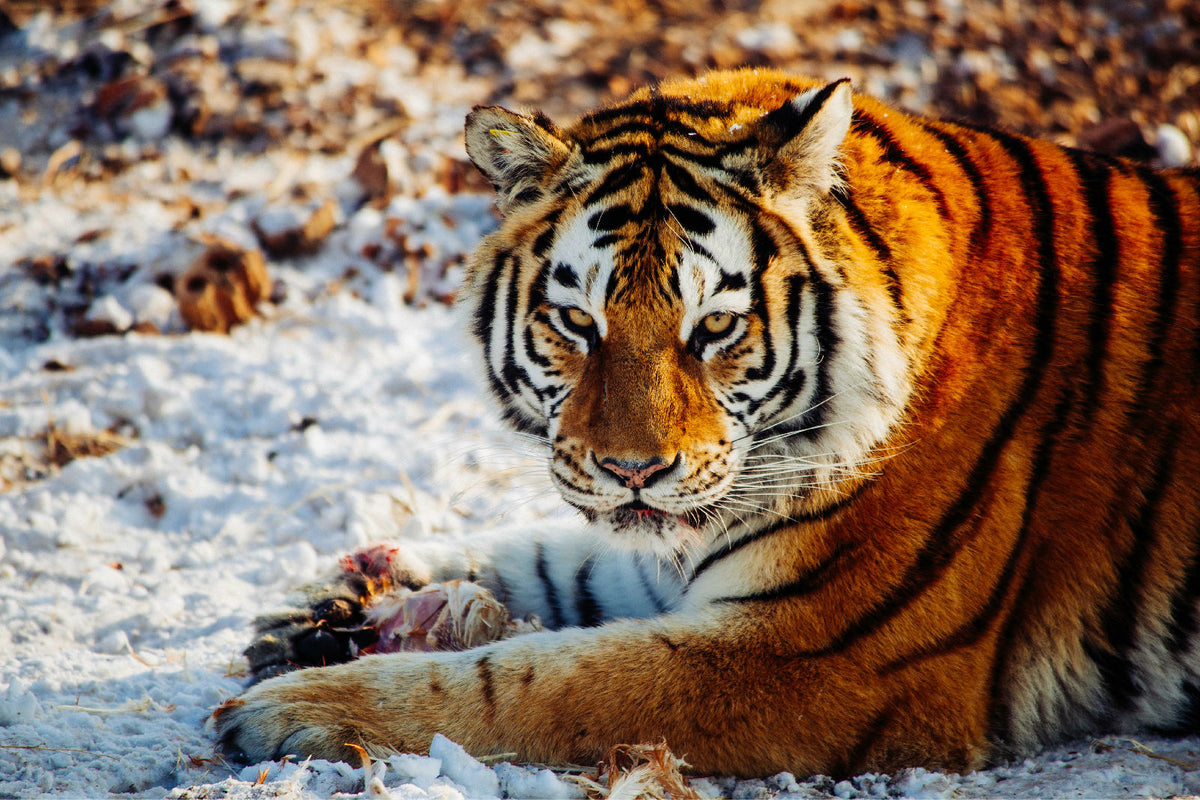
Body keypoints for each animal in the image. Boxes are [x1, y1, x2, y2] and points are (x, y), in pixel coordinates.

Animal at [212, 68, 1200, 779]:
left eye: (715, 327)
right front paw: (327, 607)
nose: (633, 471)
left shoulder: (814, 655)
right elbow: (547, 559)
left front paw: (298, 710)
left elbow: (539, 682)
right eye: (577, 322)